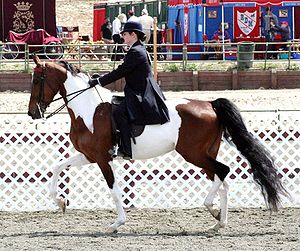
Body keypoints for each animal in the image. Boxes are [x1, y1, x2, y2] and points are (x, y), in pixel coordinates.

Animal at [28, 55, 288, 233]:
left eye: (37, 79)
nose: (33, 113)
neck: (89, 109)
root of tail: (210, 104)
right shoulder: (90, 156)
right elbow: (57, 167)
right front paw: (60, 202)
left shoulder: (102, 158)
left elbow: (114, 190)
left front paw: (116, 224)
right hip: (205, 154)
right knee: (221, 179)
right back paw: (218, 221)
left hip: (192, 153)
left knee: (223, 171)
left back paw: (212, 210)